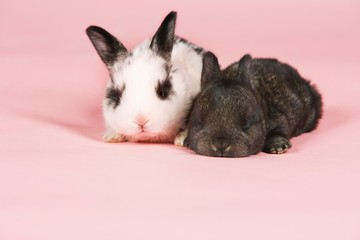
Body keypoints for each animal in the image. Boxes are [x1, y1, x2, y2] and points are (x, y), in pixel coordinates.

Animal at [175, 52, 324, 158]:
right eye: (199, 121)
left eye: (247, 123)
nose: (221, 143)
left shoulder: (277, 118)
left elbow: (280, 129)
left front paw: (279, 146)